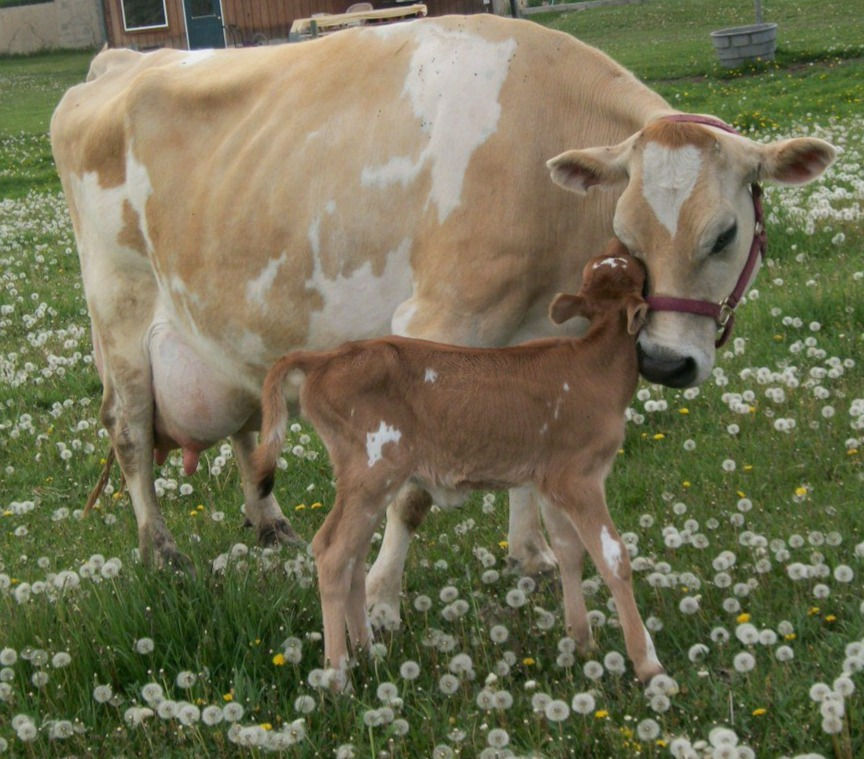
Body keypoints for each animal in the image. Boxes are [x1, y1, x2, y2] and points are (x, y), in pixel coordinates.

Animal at [50, 16, 835, 611]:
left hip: (225, 322)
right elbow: (411, 496)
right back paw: (161, 551)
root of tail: (121, 60)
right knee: (128, 433)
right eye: (629, 235)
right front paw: (377, 598)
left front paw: (531, 555)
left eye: (724, 234)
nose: (666, 362)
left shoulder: (542, 336)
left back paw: (269, 523)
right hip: (118, 308)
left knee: (246, 423)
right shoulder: (437, 326)